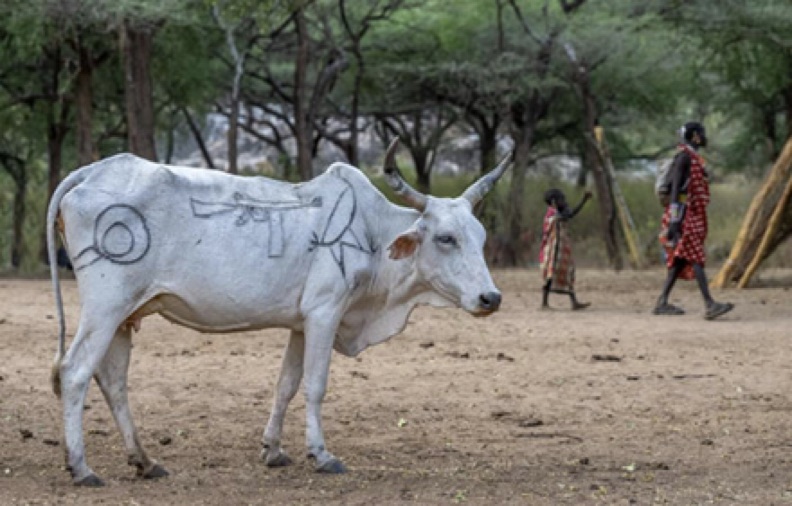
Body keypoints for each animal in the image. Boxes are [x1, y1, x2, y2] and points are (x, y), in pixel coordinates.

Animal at [48, 138, 508, 486]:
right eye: (446, 238)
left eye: (481, 237)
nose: (491, 298)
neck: (372, 232)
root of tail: (93, 171)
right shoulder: (325, 312)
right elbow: (316, 386)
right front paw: (321, 454)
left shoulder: (301, 324)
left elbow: (286, 385)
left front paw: (273, 449)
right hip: (105, 308)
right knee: (74, 373)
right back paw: (82, 468)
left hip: (124, 317)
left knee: (112, 382)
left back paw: (144, 461)